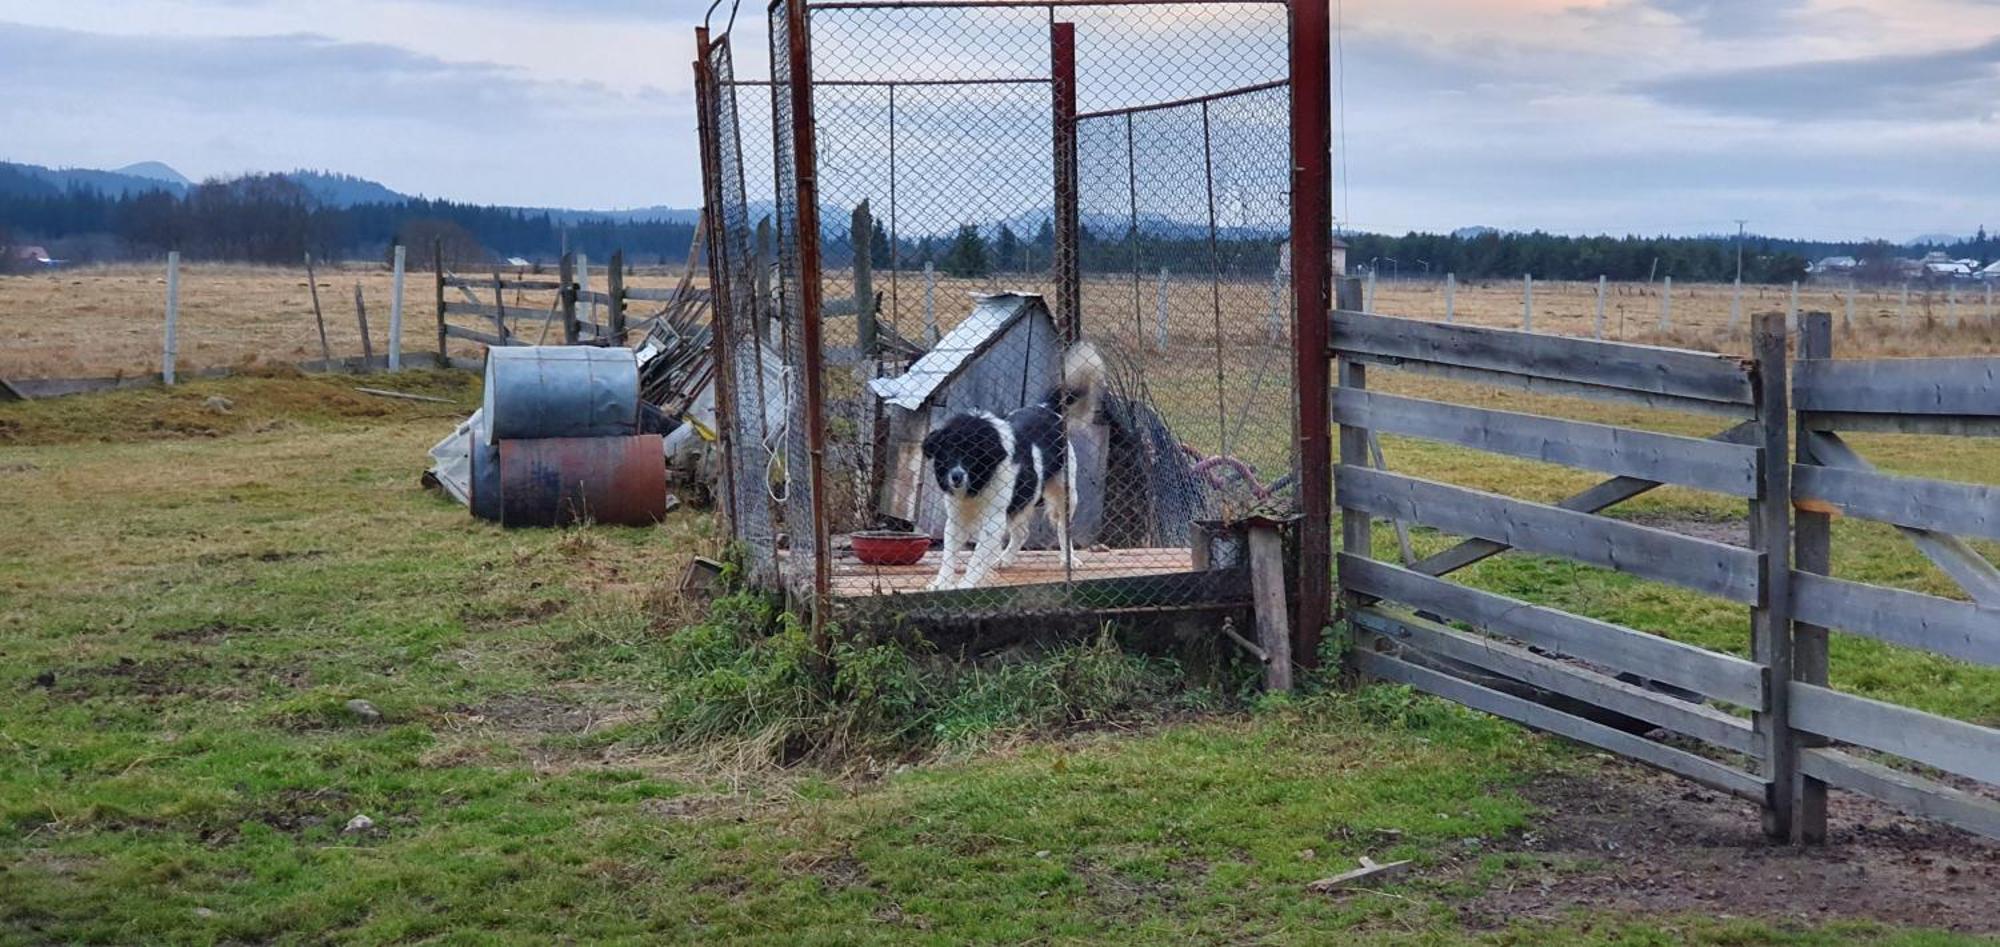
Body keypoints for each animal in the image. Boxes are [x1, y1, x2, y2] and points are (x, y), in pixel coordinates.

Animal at [924, 339, 1112, 591]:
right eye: (947, 453)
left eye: (972, 454)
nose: (956, 477)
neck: (979, 483)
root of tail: (1047, 408)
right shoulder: (956, 517)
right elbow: (949, 554)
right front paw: (941, 583)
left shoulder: (993, 522)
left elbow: (976, 558)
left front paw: (966, 584)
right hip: (1023, 500)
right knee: (1022, 532)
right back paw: (1004, 559)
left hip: (1065, 494)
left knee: (1063, 529)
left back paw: (1068, 559)